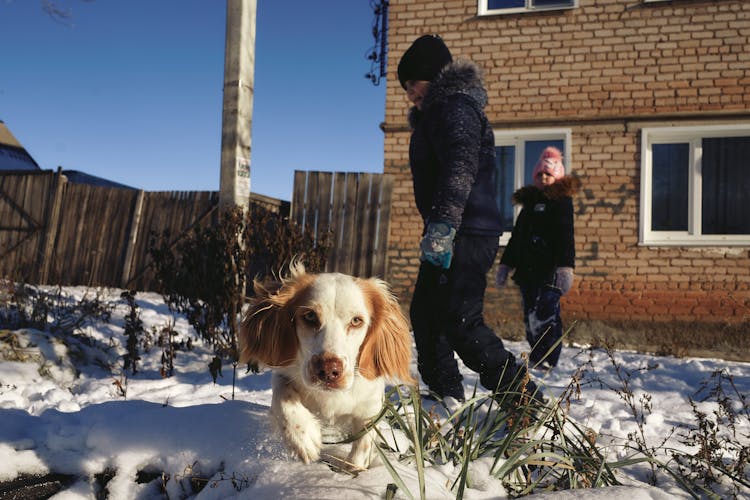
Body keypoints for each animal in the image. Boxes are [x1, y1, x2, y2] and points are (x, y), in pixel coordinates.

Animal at [239, 264, 414, 470]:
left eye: (356, 320)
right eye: (310, 316)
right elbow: (284, 397)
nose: (328, 371)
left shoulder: (370, 407)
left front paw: (351, 468)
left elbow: (362, 448)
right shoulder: (284, 374)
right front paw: (303, 437)